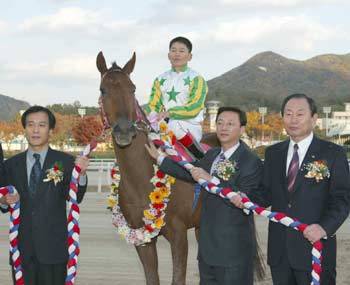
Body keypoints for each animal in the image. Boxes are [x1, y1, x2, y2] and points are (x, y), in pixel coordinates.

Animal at [96, 51, 205, 284]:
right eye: (103, 89)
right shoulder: (141, 237)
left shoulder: (179, 235)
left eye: (133, 88)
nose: (124, 130)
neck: (142, 176)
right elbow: (151, 277)